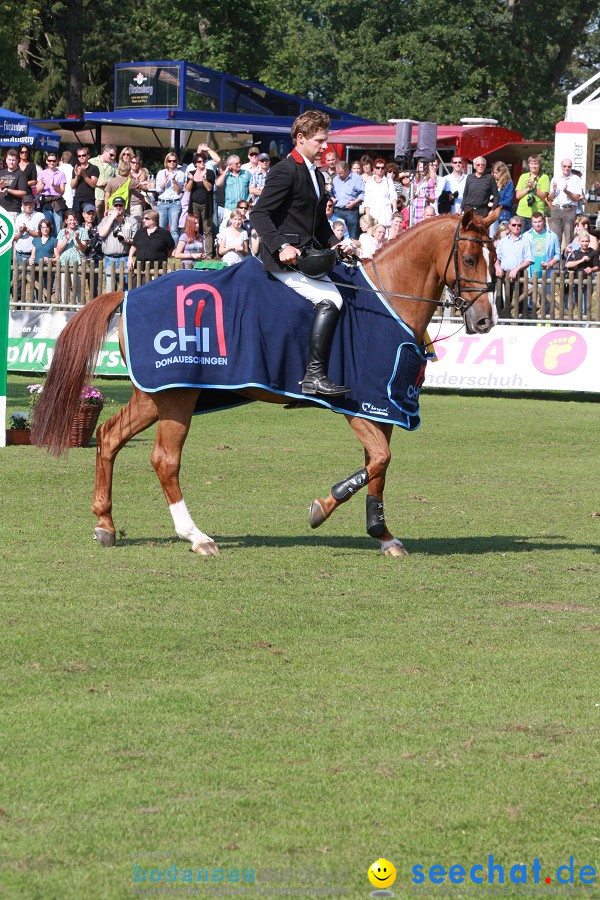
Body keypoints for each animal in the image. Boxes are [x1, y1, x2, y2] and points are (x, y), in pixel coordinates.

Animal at [30, 210, 496, 556]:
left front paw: (382, 534)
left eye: (492, 256)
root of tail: (128, 294)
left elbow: (378, 467)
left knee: (109, 436)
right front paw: (321, 507)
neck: (388, 300)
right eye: (471, 259)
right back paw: (196, 536)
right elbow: (379, 460)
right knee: (164, 460)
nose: (485, 321)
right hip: (177, 397)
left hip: (155, 397)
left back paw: (105, 524)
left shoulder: (381, 408)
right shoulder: (359, 405)